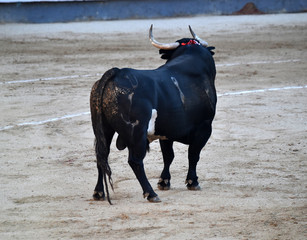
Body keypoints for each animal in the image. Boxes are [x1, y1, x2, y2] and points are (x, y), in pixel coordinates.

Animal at [90, 26, 218, 203]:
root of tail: (116, 73)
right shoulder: (205, 127)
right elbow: (193, 155)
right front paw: (193, 182)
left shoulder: (166, 132)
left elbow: (168, 156)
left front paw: (164, 181)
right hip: (136, 132)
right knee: (135, 161)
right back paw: (150, 193)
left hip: (103, 129)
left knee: (101, 157)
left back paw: (98, 192)